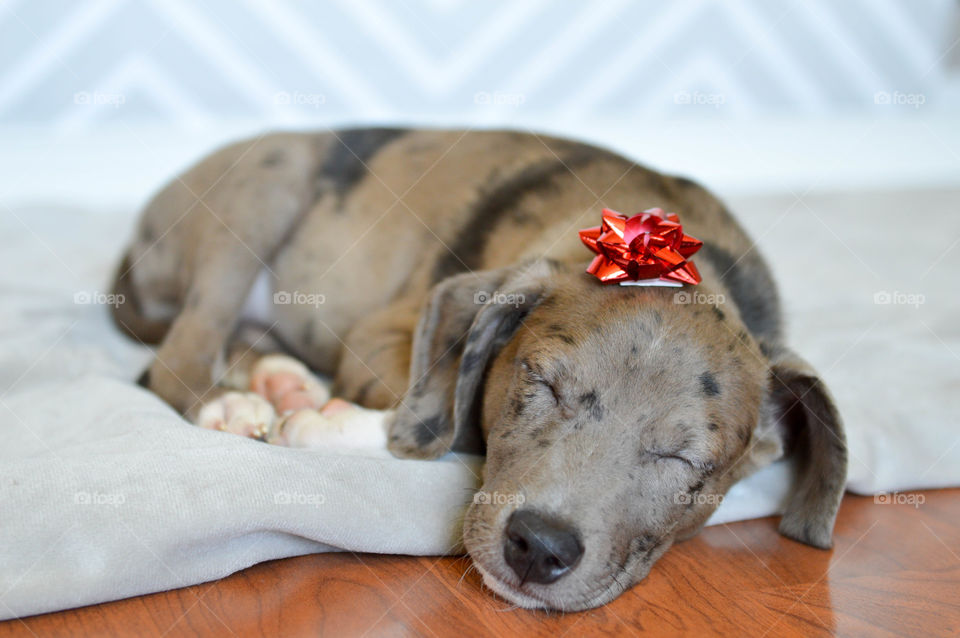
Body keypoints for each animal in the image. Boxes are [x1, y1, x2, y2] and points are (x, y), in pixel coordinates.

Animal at [110, 127, 848, 612]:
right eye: (542, 383)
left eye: (684, 460)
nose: (539, 548)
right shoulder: (380, 333)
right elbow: (442, 420)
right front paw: (324, 427)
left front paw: (317, 418)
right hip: (265, 184)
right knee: (179, 354)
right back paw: (231, 405)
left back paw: (279, 381)